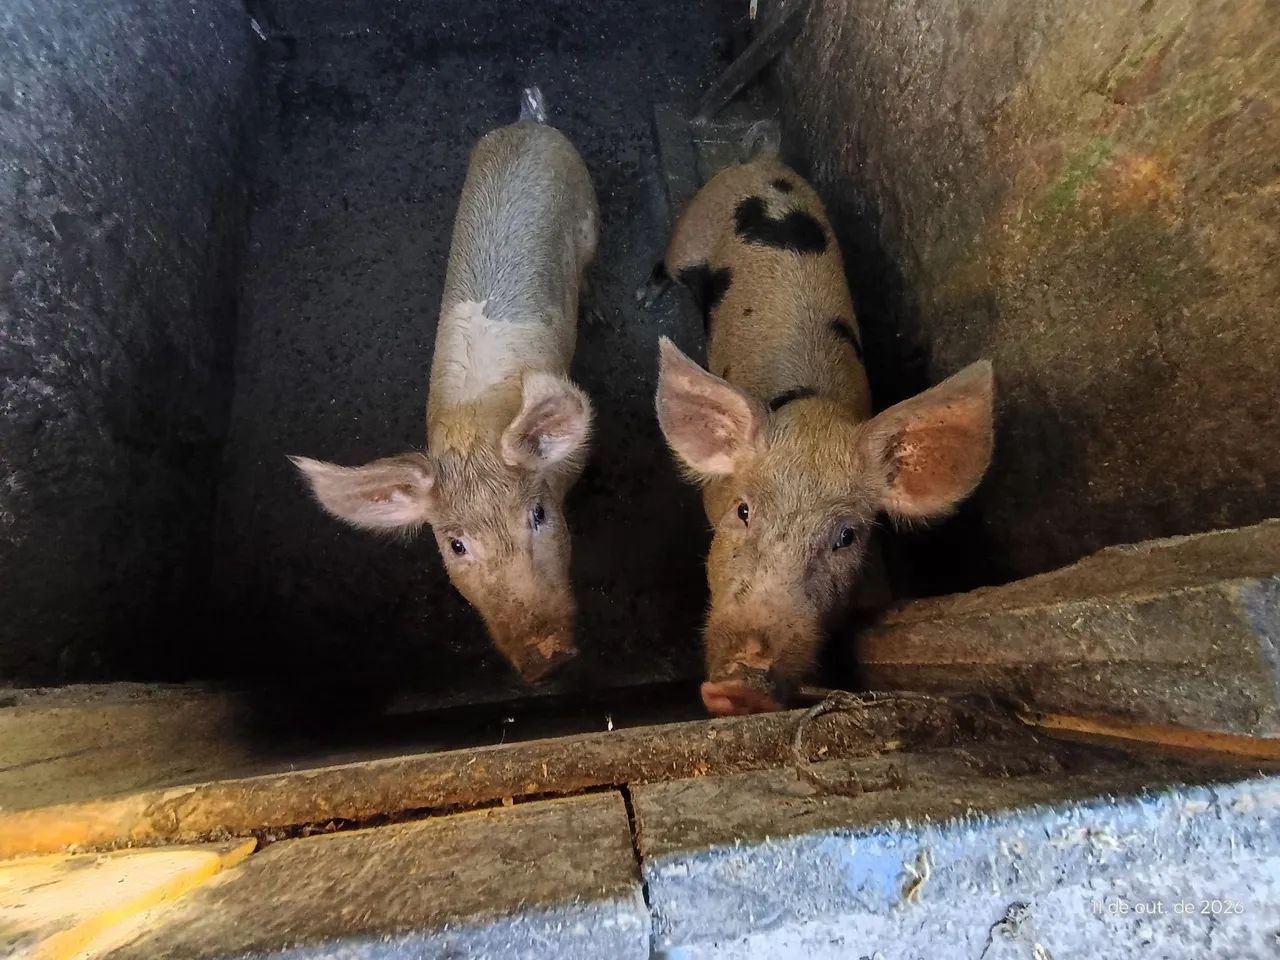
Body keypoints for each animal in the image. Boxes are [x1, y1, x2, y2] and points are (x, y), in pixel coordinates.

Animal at [651, 156, 994, 716]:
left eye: (846, 537)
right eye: (743, 511)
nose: (742, 688)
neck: (813, 413)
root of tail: (763, 165)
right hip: (694, 225)